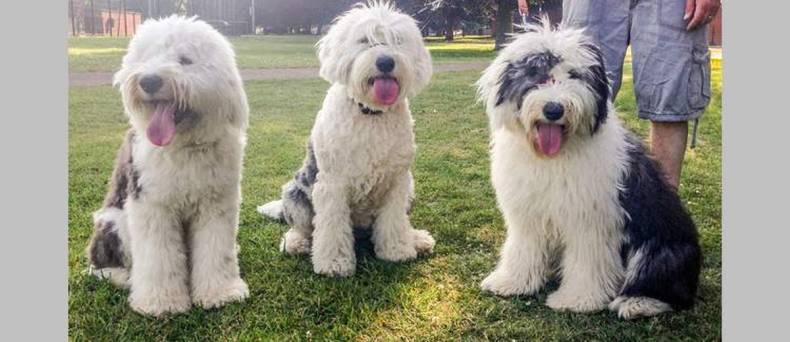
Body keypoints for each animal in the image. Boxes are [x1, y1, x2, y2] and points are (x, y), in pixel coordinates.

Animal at [86, 15, 249, 316]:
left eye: (185, 59)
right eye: (146, 58)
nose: (149, 80)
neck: (183, 147)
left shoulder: (216, 204)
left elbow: (216, 249)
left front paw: (221, 292)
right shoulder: (152, 206)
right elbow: (158, 257)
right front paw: (161, 302)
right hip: (114, 221)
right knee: (100, 263)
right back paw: (123, 277)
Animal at [258, 1, 434, 276]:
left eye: (397, 40)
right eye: (364, 40)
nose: (385, 62)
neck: (370, 114)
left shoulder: (397, 182)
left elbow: (394, 221)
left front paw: (397, 250)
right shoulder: (333, 184)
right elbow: (331, 227)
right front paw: (334, 263)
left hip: (409, 189)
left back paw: (416, 238)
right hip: (295, 193)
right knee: (302, 228)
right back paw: (296, 243)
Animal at [480, 22, 704, 320]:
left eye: (575, 76)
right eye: (536, 76)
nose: (554, 109)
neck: (554, 157)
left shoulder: (590, 218)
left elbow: (586, 261)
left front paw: (577, 299)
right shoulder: (528, 214)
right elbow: (523, 248)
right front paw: (512, 282)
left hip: (661, 247)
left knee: (668, 287)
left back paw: (638, 302)